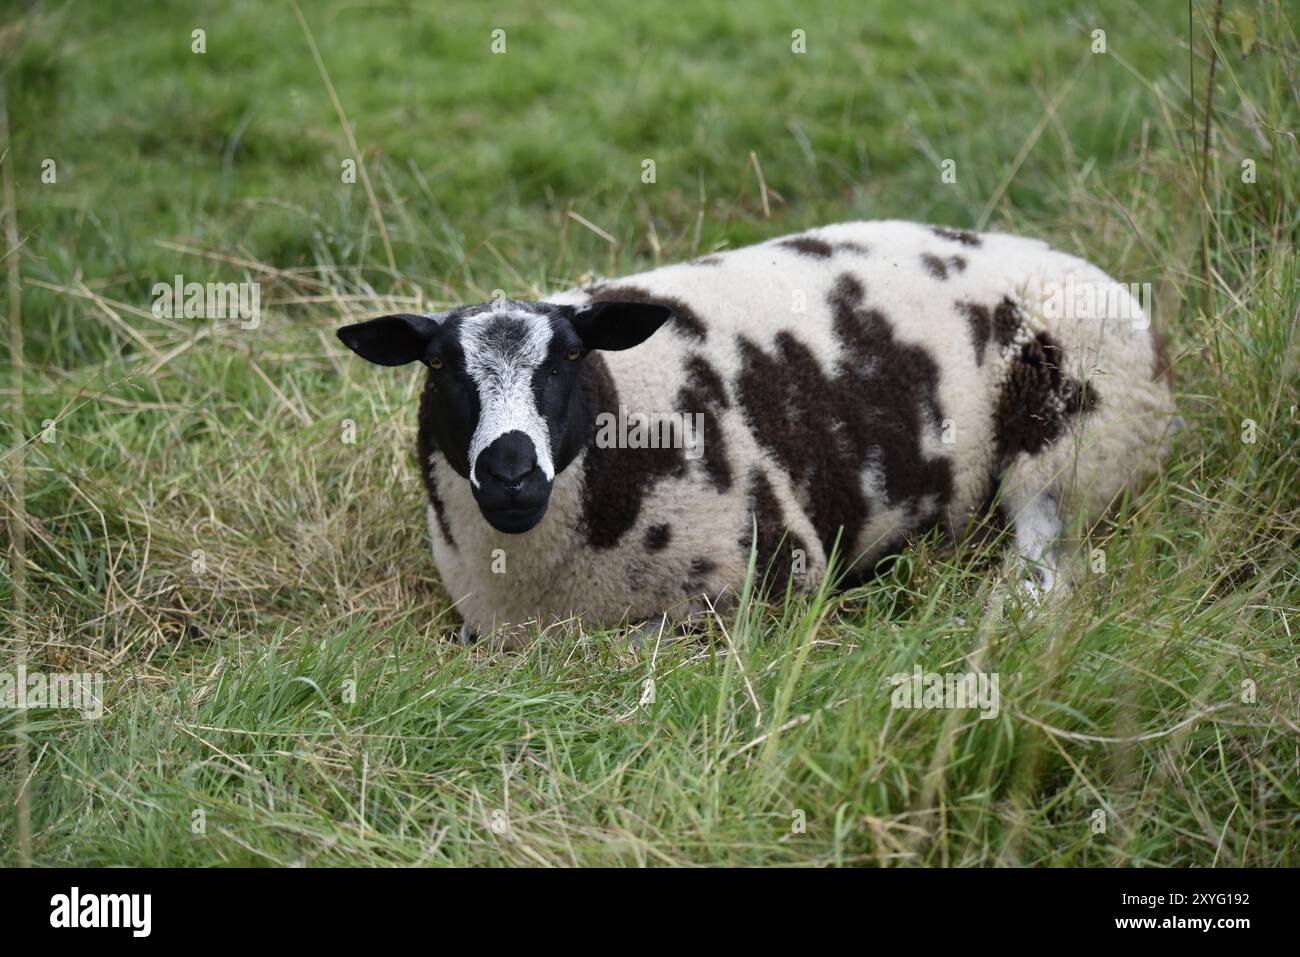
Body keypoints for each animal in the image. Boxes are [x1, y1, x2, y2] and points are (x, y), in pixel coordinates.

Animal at [335, 218, 1180, 642]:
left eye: (571, 354)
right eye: (437, 365)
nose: (511, 476)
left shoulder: (772, 577)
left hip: (1077, 432)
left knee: (1047, 554)